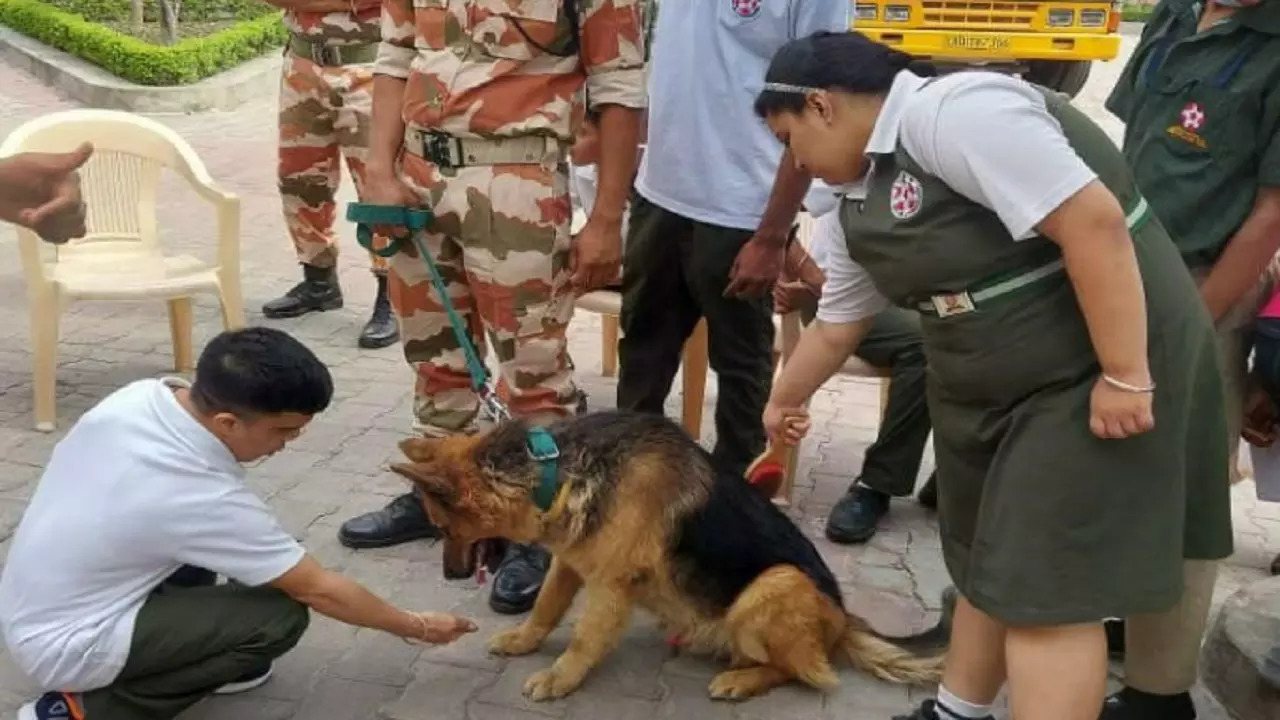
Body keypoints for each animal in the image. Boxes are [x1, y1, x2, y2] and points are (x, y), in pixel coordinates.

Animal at [386, 409, 942, 702]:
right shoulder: (570, 562)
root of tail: (844, 619)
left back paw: (741, 680)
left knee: (809, 672)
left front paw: (560, 677)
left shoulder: (608, 585)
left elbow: (584, 640)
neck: (555, 472)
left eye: (443, 528)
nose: (451, 575)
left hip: (775, 582)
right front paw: (525, 641)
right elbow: (545, 608)